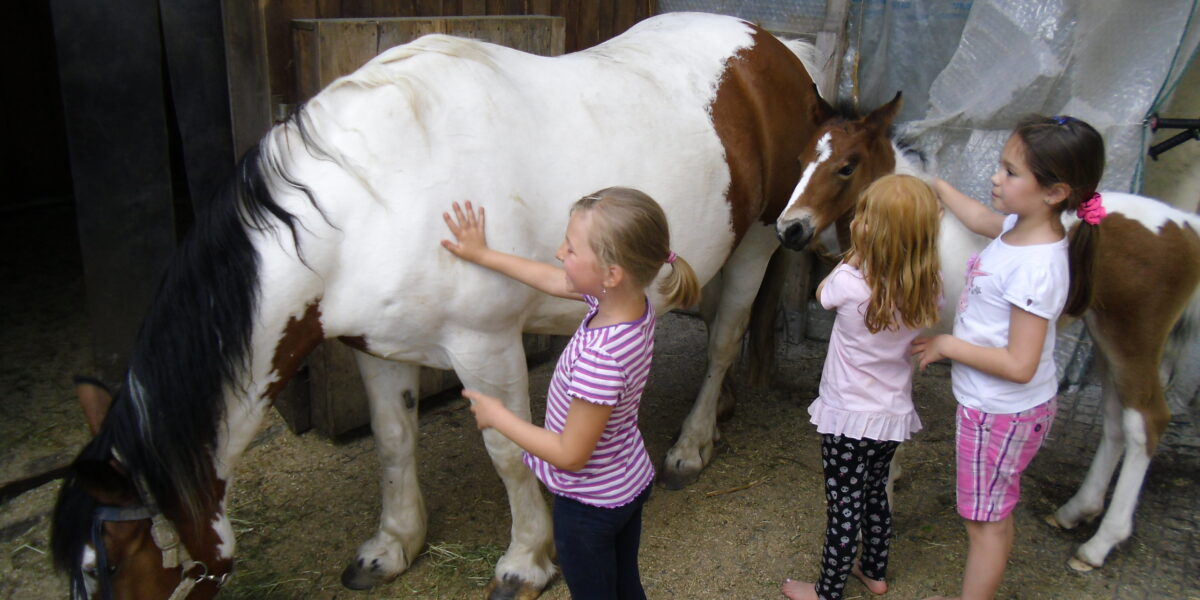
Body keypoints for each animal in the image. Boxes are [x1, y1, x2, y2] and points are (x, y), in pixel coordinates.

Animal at [50, 12, 837, 600]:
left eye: (113, 561)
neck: (370, 204)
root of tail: (775, 47)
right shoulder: (376, 350)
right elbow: (394, 442)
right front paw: (394, 546)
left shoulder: (485, 344)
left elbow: (509, 451)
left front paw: (527, 562)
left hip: (757, 241)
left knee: (724, 338)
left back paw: (692, 446)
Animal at [771, 98, 1200, 571]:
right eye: (800, 160)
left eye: (847, 167)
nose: (790, 229)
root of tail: (1184, 224)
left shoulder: (902, 347)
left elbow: (888, 424)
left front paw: (879, 508)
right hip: (1105, 335)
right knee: (1115, 420)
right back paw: (1076, 511)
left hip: (1133, 337)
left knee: (1145, 422)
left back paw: (1100, 543)